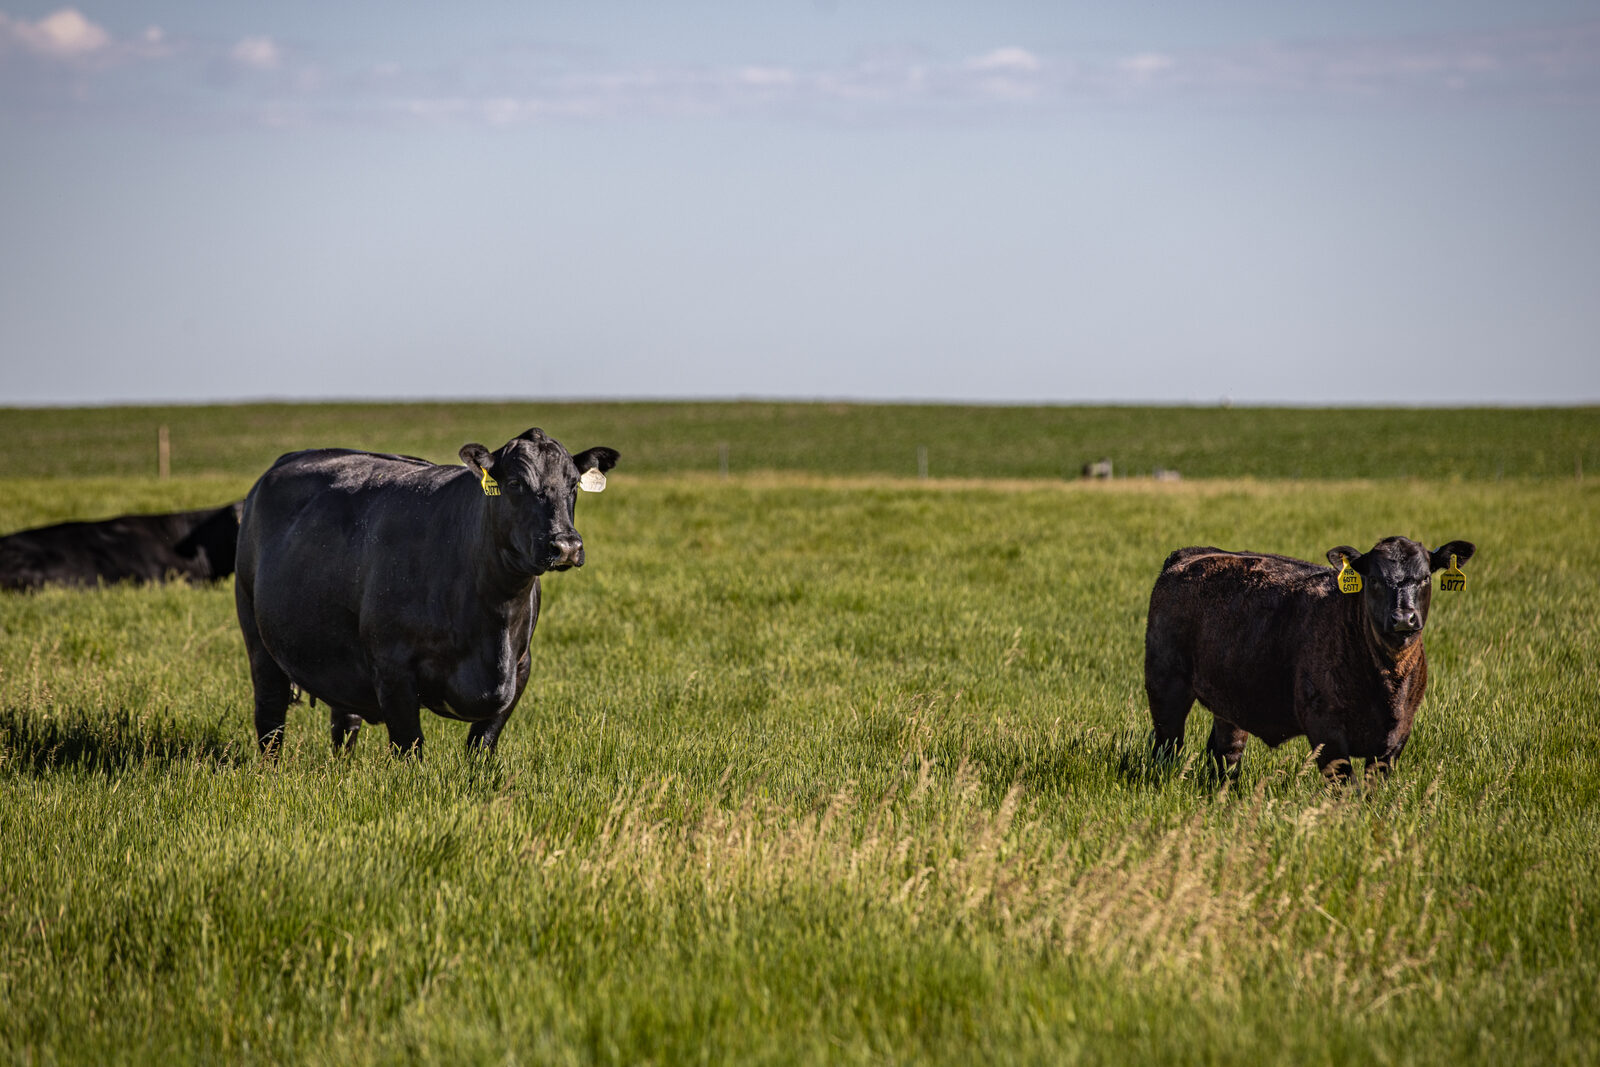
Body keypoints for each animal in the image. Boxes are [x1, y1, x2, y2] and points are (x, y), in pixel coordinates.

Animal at [234, 427, 619, 757]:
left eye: (573, 484)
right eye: (515, 483)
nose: (566, 545)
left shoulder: (520, 668)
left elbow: (482, 744)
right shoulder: (393, 670)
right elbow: (410, 747)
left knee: (344, 724)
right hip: (258, 638)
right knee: (270, 720)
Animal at [1143, 536, 1476, 780]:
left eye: (1424, 578)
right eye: (1374, 580)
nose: (1403, 618)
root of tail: (1190, 554)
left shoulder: (1396, 739)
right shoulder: (1326, 733)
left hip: (1230, 702)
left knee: (1225, 754)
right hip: (1165, 688)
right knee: (1167, 747)